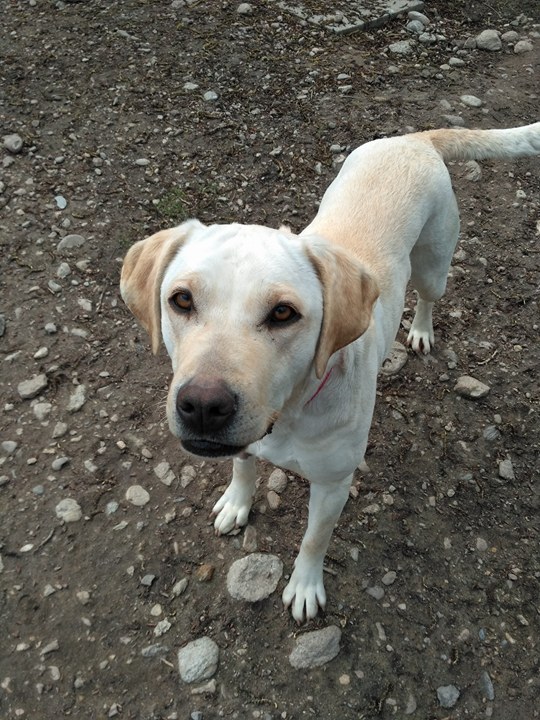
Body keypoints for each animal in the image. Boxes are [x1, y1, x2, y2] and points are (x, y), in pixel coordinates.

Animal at [122, 121, 540, 620]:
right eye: (181, 299)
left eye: (283, 313)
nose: (203, 406)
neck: (289, 414)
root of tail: (415, 139)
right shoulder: (244, 446)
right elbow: (243, 468)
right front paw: (237, 503)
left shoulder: (333, 485)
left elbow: (314, 539)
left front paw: (304, 586)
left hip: (434, 264)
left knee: (428, 295)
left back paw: (421, 330)